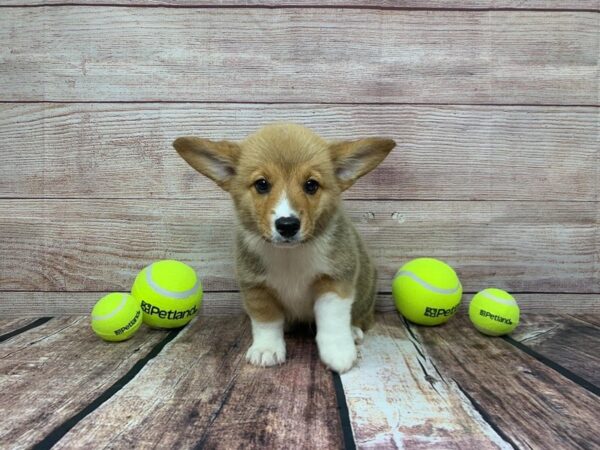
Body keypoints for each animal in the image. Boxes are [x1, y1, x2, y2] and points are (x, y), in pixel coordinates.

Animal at [175, 123, 394, 372]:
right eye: (262, 184)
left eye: (311, 185)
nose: (287, 225)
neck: (290, 255)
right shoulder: (256, 287)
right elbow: (266, 321)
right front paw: (266, 349)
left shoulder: (335, 280)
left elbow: (333, 320)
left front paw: (339, 352)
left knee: (363, 317)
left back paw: (354, 330)